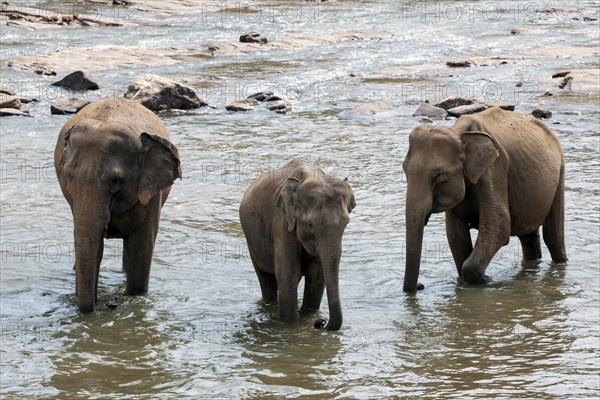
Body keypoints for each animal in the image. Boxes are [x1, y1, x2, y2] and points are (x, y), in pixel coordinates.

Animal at [55, 97, 182, 312]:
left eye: (116, 181)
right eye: (68, 177)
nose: (104, 306)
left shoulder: (150, 194)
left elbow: (141, 247)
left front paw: (134, 298)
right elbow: (94, 246)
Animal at [239, 158, 356, 330]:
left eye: (346, 223)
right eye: (310, 225)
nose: (320, 322)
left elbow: (317, 276)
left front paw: (308, 317)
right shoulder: (282, 223)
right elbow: (288, 275)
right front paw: (292, 326)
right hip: (252, 243)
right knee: (266, 279)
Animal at [404, 106, 568, 292]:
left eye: (439, 175)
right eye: (404, 170)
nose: (420, 285)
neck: (458, 132)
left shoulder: (494, 169)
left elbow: (499, 225)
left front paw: (486, 281)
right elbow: (455, 235)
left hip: (560, 172)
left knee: (553, 235)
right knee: (528, 236)